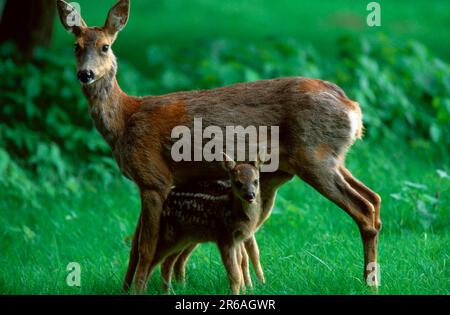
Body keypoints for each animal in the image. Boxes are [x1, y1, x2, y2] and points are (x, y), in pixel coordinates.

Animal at [55, 0, 380, 292]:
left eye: (105, 47)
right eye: (76, 47)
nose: (85, 74)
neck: (124, 118)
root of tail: (353, 109)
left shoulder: (153, 179)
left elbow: (145, 246)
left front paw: (137, 290)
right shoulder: (146, 183)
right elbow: (135, 245)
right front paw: (124, 289)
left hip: (314, 156)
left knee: (363, 209)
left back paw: (370, 283)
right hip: (332, 159)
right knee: (374, 198)